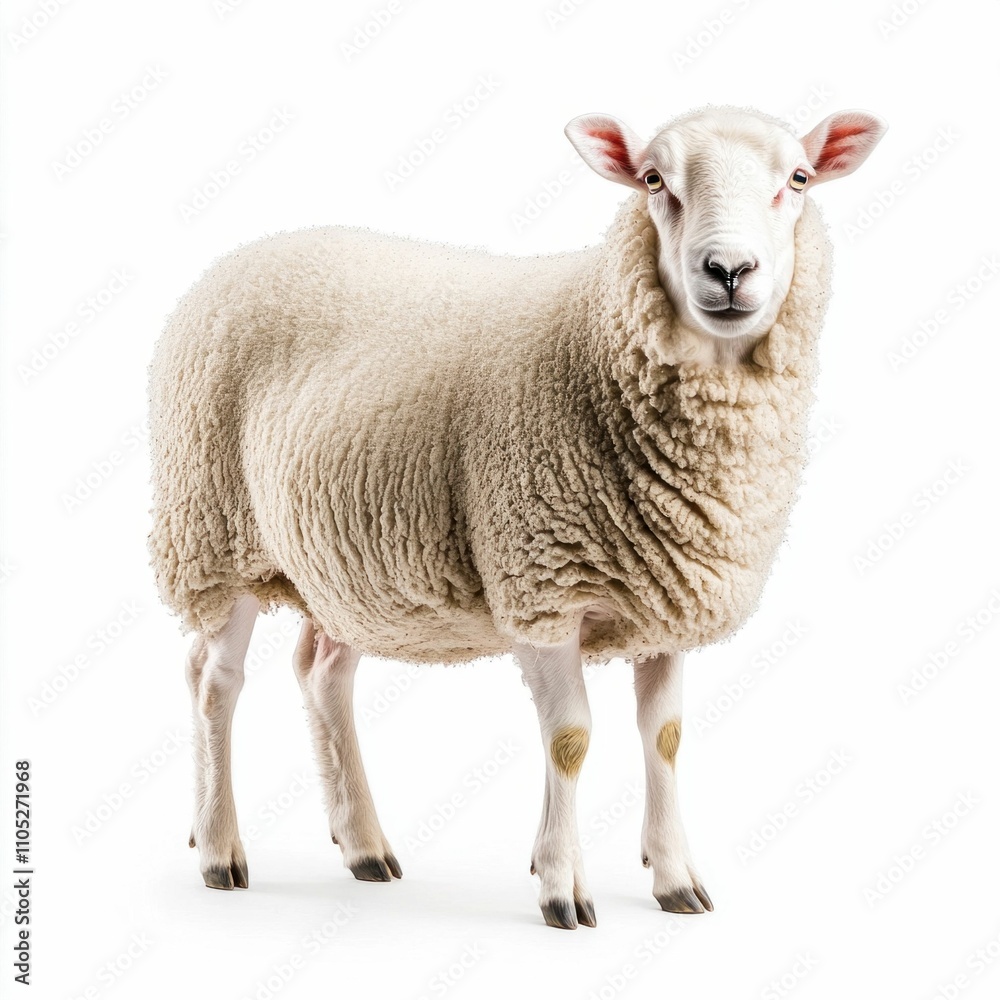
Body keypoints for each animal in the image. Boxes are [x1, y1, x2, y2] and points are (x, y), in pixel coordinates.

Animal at [149, 104, 886, 929]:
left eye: (799, 179)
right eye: (653, 180)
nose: (729, 271)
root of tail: (240, 256)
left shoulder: (667, 598)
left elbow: (664, 738)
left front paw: (674, 880)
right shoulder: (541, 584)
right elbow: (570, 739)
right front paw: (562, 886)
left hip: (340, 563)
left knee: (322, 673)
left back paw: (364, 845)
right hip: (212, 533)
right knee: (214, 680)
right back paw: (219, 850)